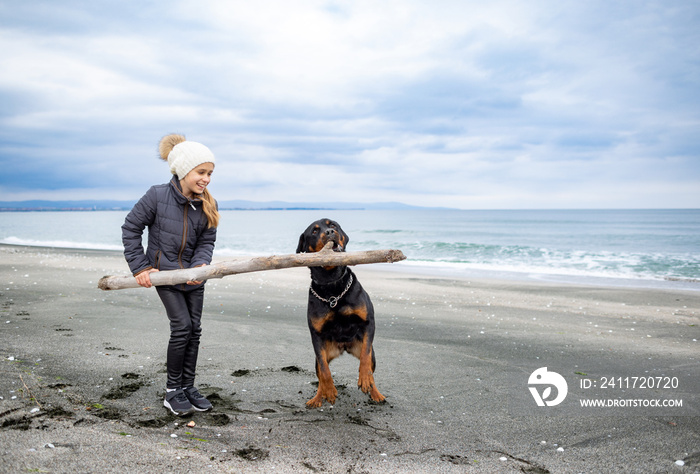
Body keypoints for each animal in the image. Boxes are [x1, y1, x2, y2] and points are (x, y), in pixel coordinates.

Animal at [294, 218, 386, 408]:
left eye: (333, 225)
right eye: (314, 231)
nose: (330, 232)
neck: (332, 285)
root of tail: (343, 347)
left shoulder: (368, 323)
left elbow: (365, 358)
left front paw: (364, 379)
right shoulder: (316, 334)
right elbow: (324, 370)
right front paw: (329, 391)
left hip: (368, 351)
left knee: (370, 366)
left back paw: (375, 393)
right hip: (323, 352)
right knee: (320, 372)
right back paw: (318, 397)